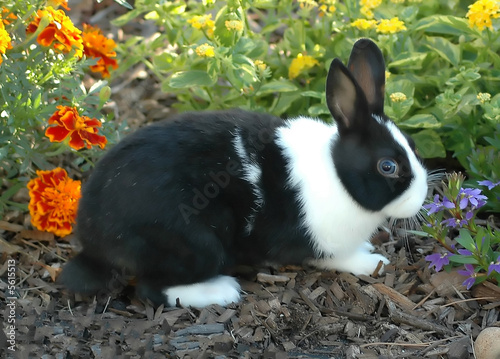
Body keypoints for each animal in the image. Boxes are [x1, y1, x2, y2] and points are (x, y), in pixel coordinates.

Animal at [57, 39, 426, 310]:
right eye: (388, 166)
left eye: (413, 144)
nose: (421, 198)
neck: (337, 173)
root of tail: (93, 241)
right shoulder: (318, 243)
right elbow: (339, 258)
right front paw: (373, 262)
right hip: (196, 245)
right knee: (152, 289)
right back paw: (221, 291)